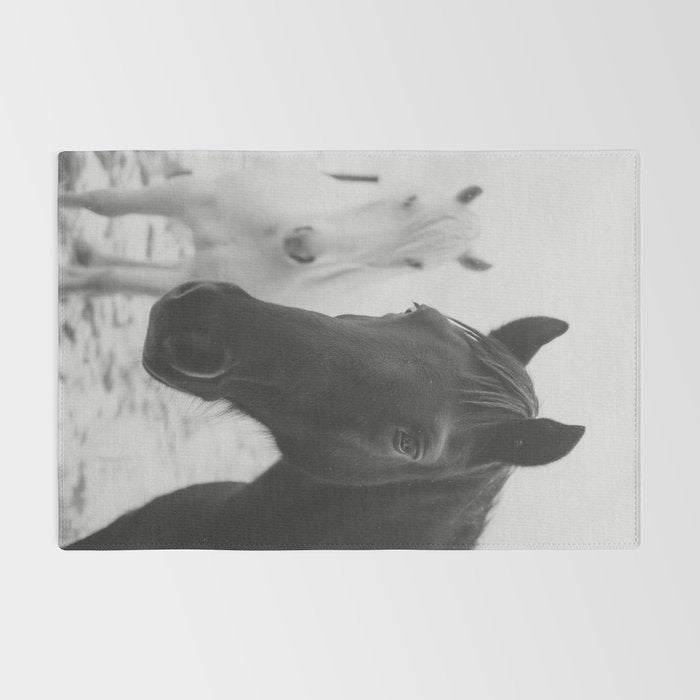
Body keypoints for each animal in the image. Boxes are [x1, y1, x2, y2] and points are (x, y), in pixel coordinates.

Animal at [60, 161, 491, 298]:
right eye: (409, 200)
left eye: (414, 264)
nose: (304, 244)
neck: (266, 239)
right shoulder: (189, 196)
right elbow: (102, 202)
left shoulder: (191, 280)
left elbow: (107, 280)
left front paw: (66, 286)